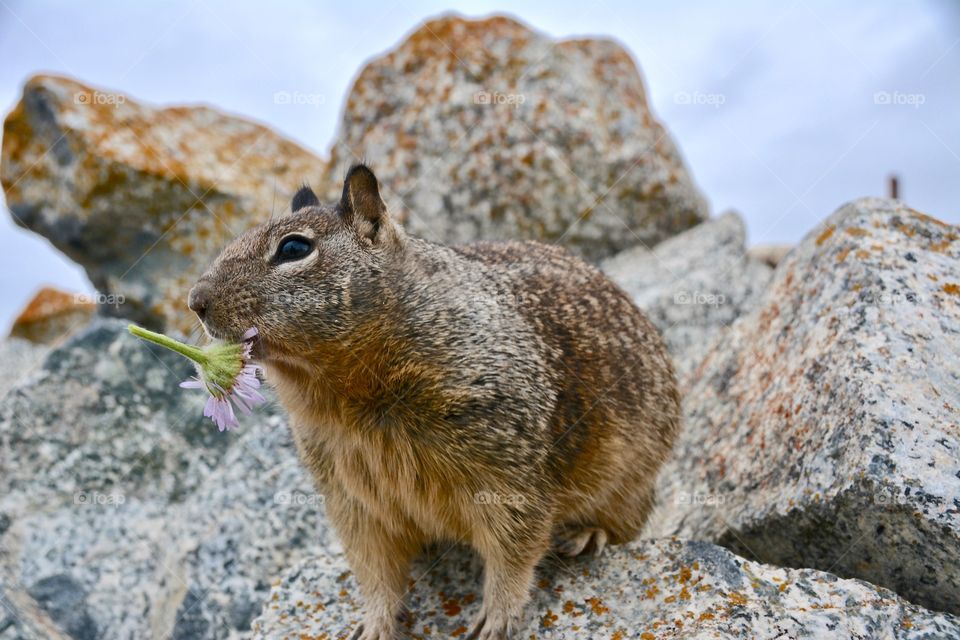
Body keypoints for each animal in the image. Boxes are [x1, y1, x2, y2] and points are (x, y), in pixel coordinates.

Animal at [189, 165, 684, 640]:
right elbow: (374, 569)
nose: (195, 300)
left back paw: (588, 533)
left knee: (629, 523)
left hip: (631, 475)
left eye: (294, 248)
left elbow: (515, 547)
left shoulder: (507, 463)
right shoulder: (351, 498)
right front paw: (372, 625)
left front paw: (494, 618)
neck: (350, 397)